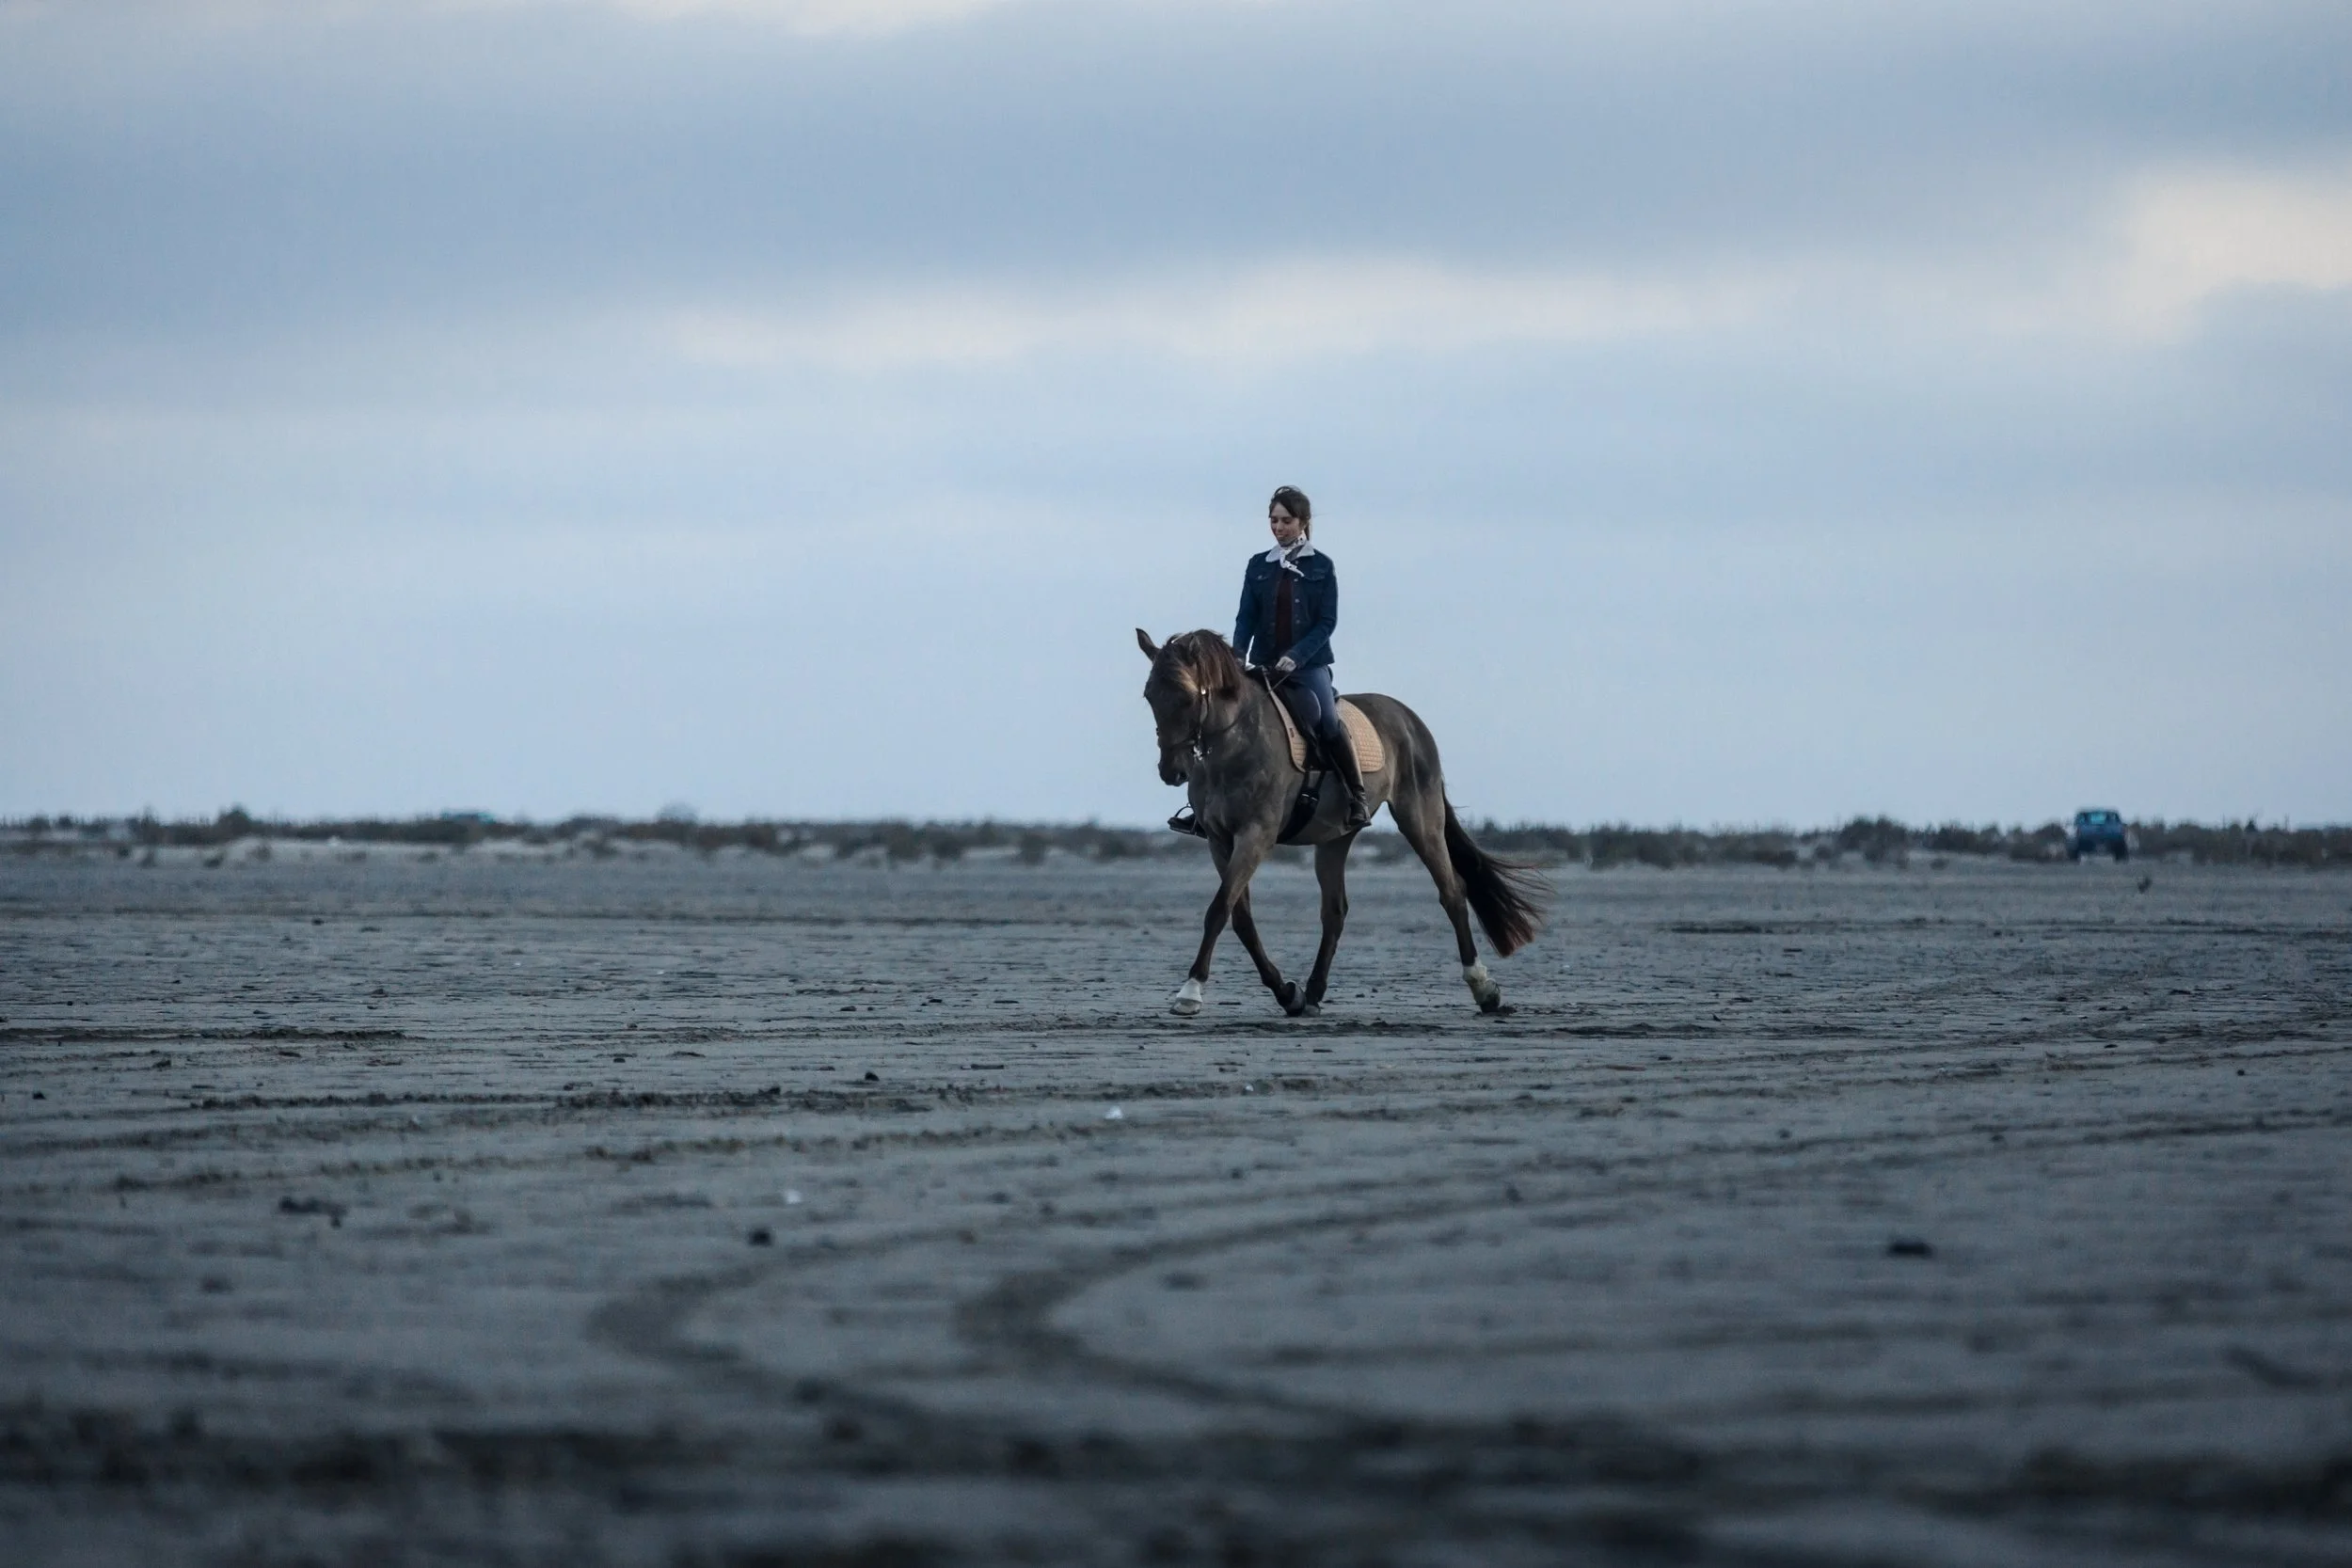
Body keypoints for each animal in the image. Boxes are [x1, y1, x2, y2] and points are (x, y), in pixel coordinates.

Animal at [1137, 628, 1549, 1018]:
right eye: (1149, 696)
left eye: (1188, 698)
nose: (1171, 771)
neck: (1233, 745)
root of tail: (1408, 717)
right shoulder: (1219, 841)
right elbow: (1239, 916)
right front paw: (1287, 994)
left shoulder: (1256, 836)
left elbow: (1219, 909)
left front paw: (1190, 992)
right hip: (1335, 837)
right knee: (1335, 911)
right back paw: (1313, 994)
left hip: (1421, 817)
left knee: (1452, 892)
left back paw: (1485, 989)